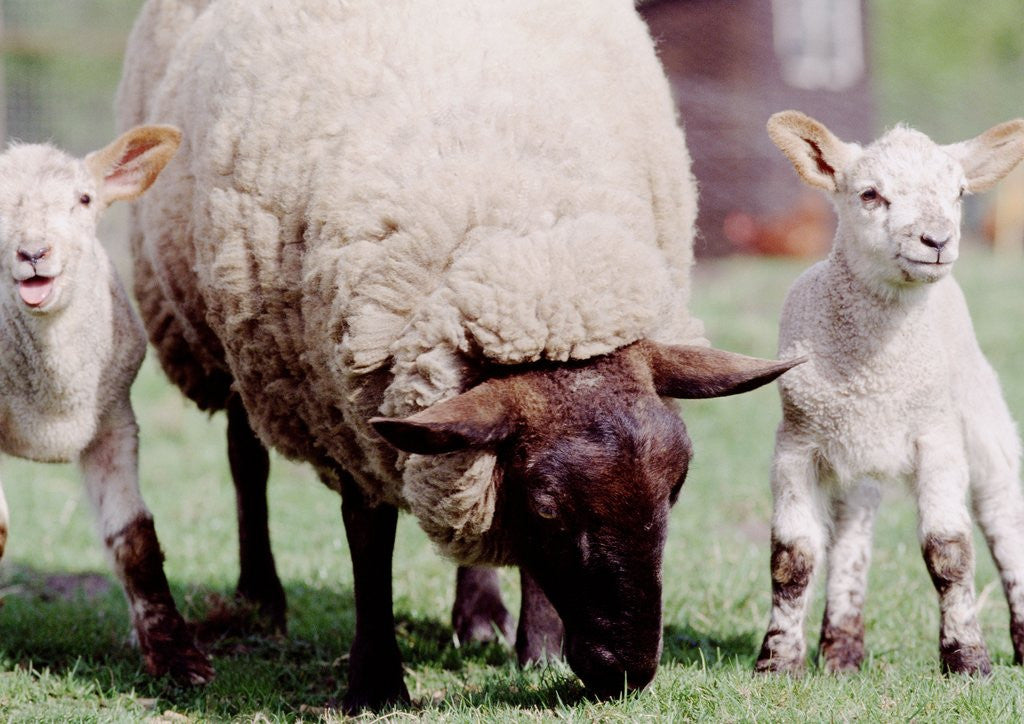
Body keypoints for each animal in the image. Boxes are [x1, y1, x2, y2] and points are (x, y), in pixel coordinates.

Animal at [117, 0, 802, 710]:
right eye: (549, 507)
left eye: (677, 486)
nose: (627, 673)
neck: (528, 253)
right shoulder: (344, 405)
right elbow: (369, 539)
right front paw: (376, 685)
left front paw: (537, 650)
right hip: (223, 339)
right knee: (244, 456)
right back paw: (261, 599)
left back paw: (478, 619)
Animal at [754, 110, 1024, 676]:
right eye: (870, 194)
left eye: (959, 192)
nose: (936, 240)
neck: (873, 375)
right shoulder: (796, 445)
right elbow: (792, 557)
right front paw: (776, 662)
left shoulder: (938, 438)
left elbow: (949, 551)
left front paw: (967, 659)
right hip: (854, 458)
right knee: (852, 535)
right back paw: (842, 651)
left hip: (982, 419)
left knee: (1003, 519)